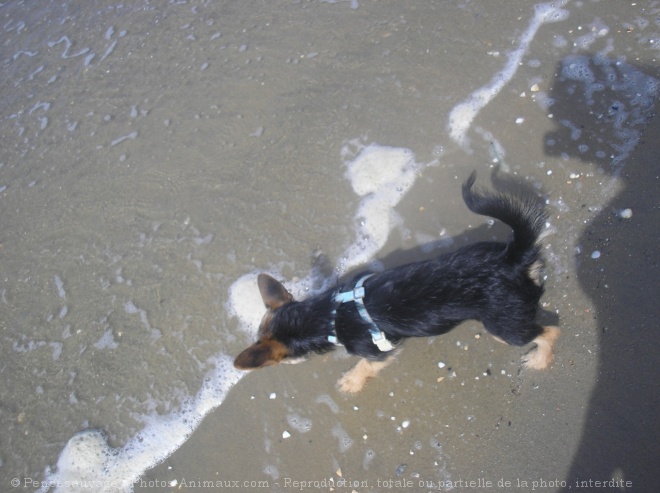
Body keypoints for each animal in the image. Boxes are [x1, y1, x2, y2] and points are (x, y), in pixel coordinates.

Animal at [235, 171, 560, 394]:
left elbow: (365, 365)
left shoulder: (377, 353)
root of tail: (512, 257)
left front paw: (351, 381)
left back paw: (540, 359)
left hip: (502, 326)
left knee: (549, 330)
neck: (328, 315)